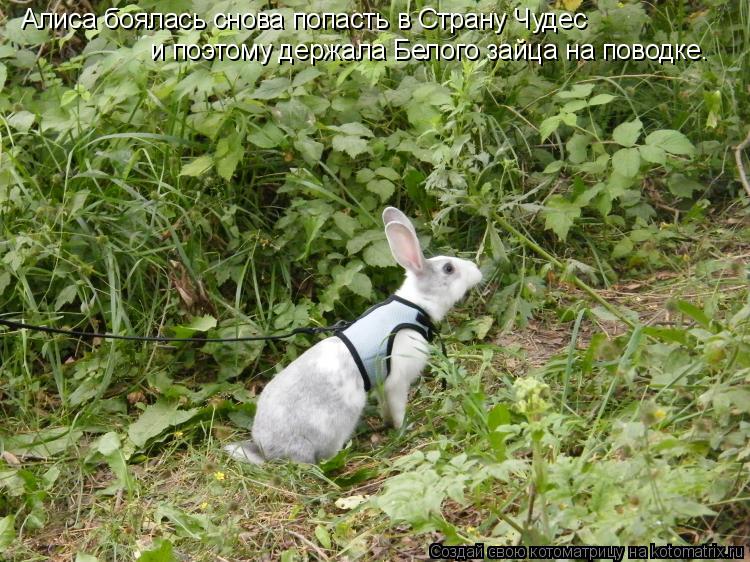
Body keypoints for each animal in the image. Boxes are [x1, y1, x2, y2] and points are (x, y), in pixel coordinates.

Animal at [223, 208, 484, 462]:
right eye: (448, 268)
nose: (477, 270)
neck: (416, 305)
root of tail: (267, 450)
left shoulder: (382, 384)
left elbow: (386, 407)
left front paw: (388, 424)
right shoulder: (397, 382)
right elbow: (398, 408)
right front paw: (404, 427)